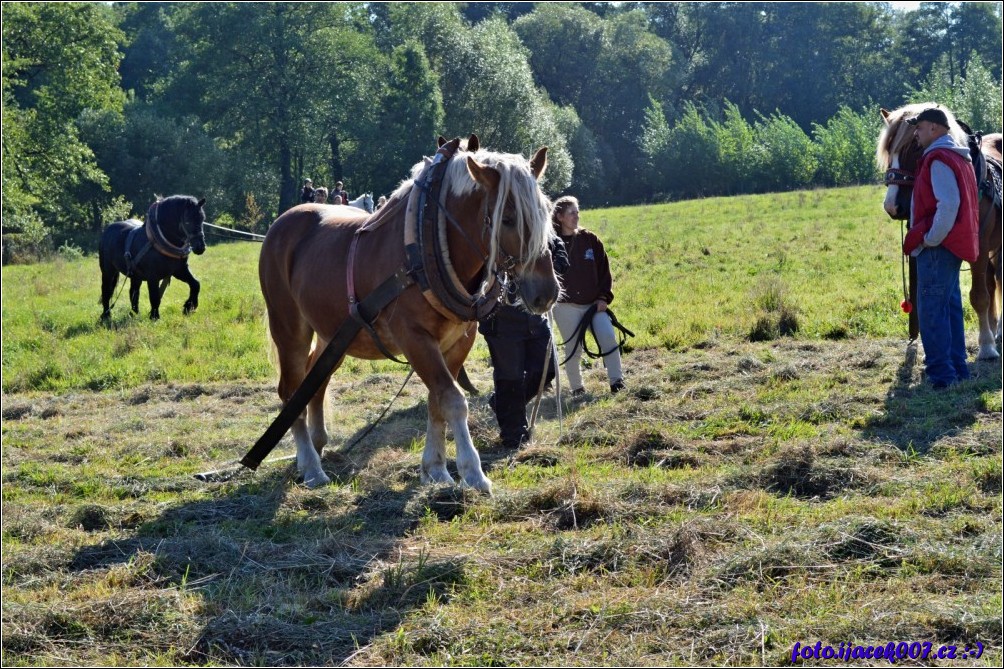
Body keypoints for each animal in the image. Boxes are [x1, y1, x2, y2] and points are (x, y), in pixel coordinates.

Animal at [257, 135, 558, 490]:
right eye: (507, 218)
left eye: (546, 213)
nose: (547, 292)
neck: (428, 244)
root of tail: (280, 224)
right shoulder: (414, 338)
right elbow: (453, 399)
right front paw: (472, 471)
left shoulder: (459, 341)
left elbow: (436, 401)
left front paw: (436, 469)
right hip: (289, 327)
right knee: (291, 391)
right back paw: (311, 466)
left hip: (335, 337)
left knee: (315, 382)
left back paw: (317, 446)